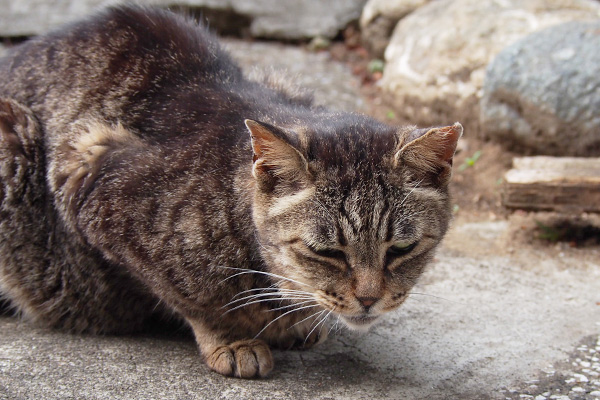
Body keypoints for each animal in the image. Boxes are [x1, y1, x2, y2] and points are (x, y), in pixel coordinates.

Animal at [0, 5, 462, 378]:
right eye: (326, 252)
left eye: (401, 249)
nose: (369, 299)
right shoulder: (93, 178)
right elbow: (197, 298)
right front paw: (234, 337)